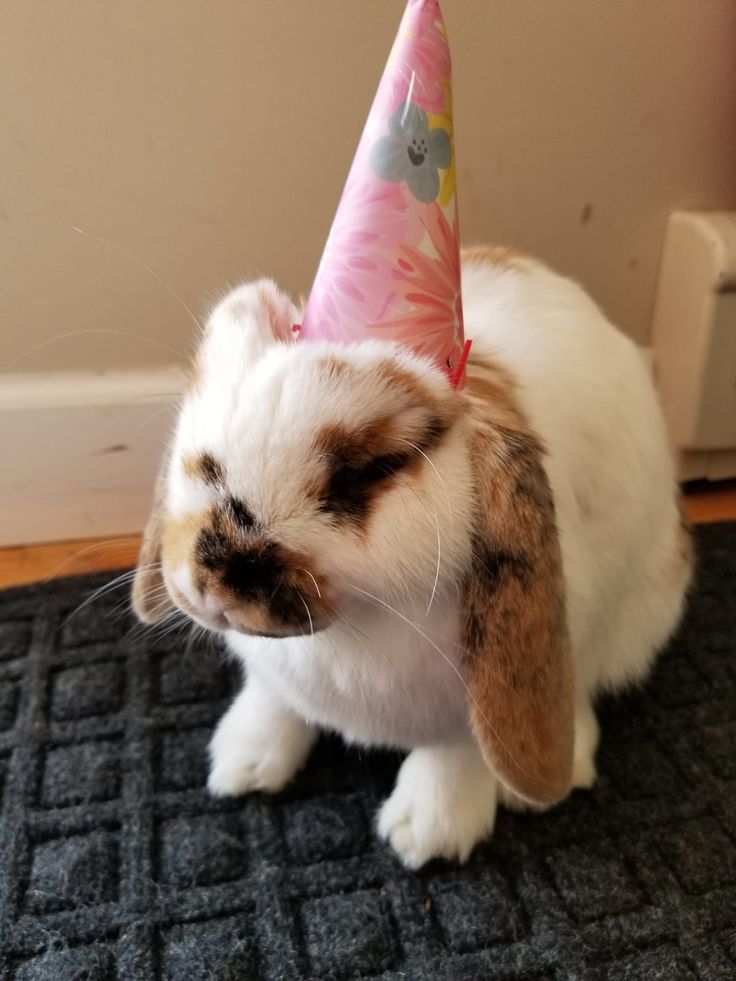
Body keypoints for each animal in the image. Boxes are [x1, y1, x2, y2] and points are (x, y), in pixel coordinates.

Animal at [132, 246, 693, 868]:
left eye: (374, 468)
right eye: (208, 452)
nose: (213, 586)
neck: (357, 623)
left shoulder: (467, 701)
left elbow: (459, 746)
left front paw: (427, 832)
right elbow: (275, 696)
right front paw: (244, 762)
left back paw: (560, 773)